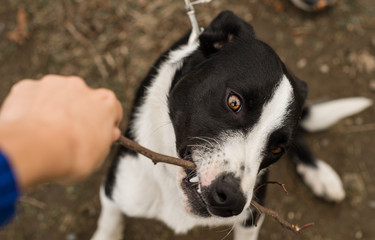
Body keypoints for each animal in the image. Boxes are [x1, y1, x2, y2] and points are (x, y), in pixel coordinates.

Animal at [92, 10, 374, 239]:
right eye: (234, 102)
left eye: (276, 150)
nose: (230, 200)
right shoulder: (117, 189)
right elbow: (109, 221)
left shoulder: (251, 219)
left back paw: (319, 174)